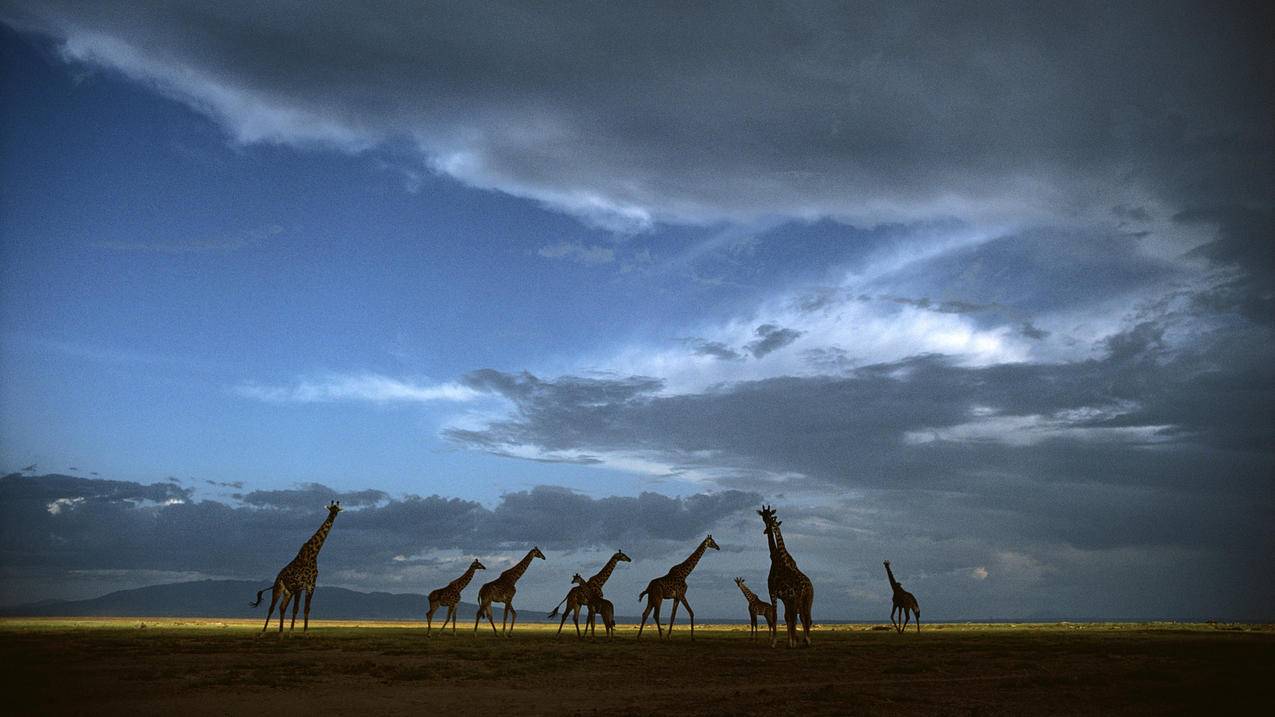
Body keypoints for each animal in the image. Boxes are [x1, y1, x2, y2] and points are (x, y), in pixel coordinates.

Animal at [247, 497, 339, 630]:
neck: (313, 554)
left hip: (288, 592)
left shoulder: (311, 586)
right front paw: (291, 631)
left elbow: (306, 609)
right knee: (272, 608)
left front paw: (304, 631)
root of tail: (277, 577)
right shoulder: (299, 586)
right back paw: (263, 631)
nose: (333, 516)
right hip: (278, 588)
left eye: (337, 510)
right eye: (331, 509)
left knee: (282, 607)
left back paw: (280, 631)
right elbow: (296, 609)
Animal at [754, 502, 816, 648]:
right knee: (799, 617)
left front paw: (778, 642)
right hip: (799, 600)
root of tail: (810, 585)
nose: (767, 528)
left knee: (805, 617)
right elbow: (783, 616)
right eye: (763, 516)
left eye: (771, 517)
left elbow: (783, 616)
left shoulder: (777, 593)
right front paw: (787, 641)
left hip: (806, 600)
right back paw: (801, 640)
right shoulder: (781, 595)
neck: (777, 560)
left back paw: (806, 640)